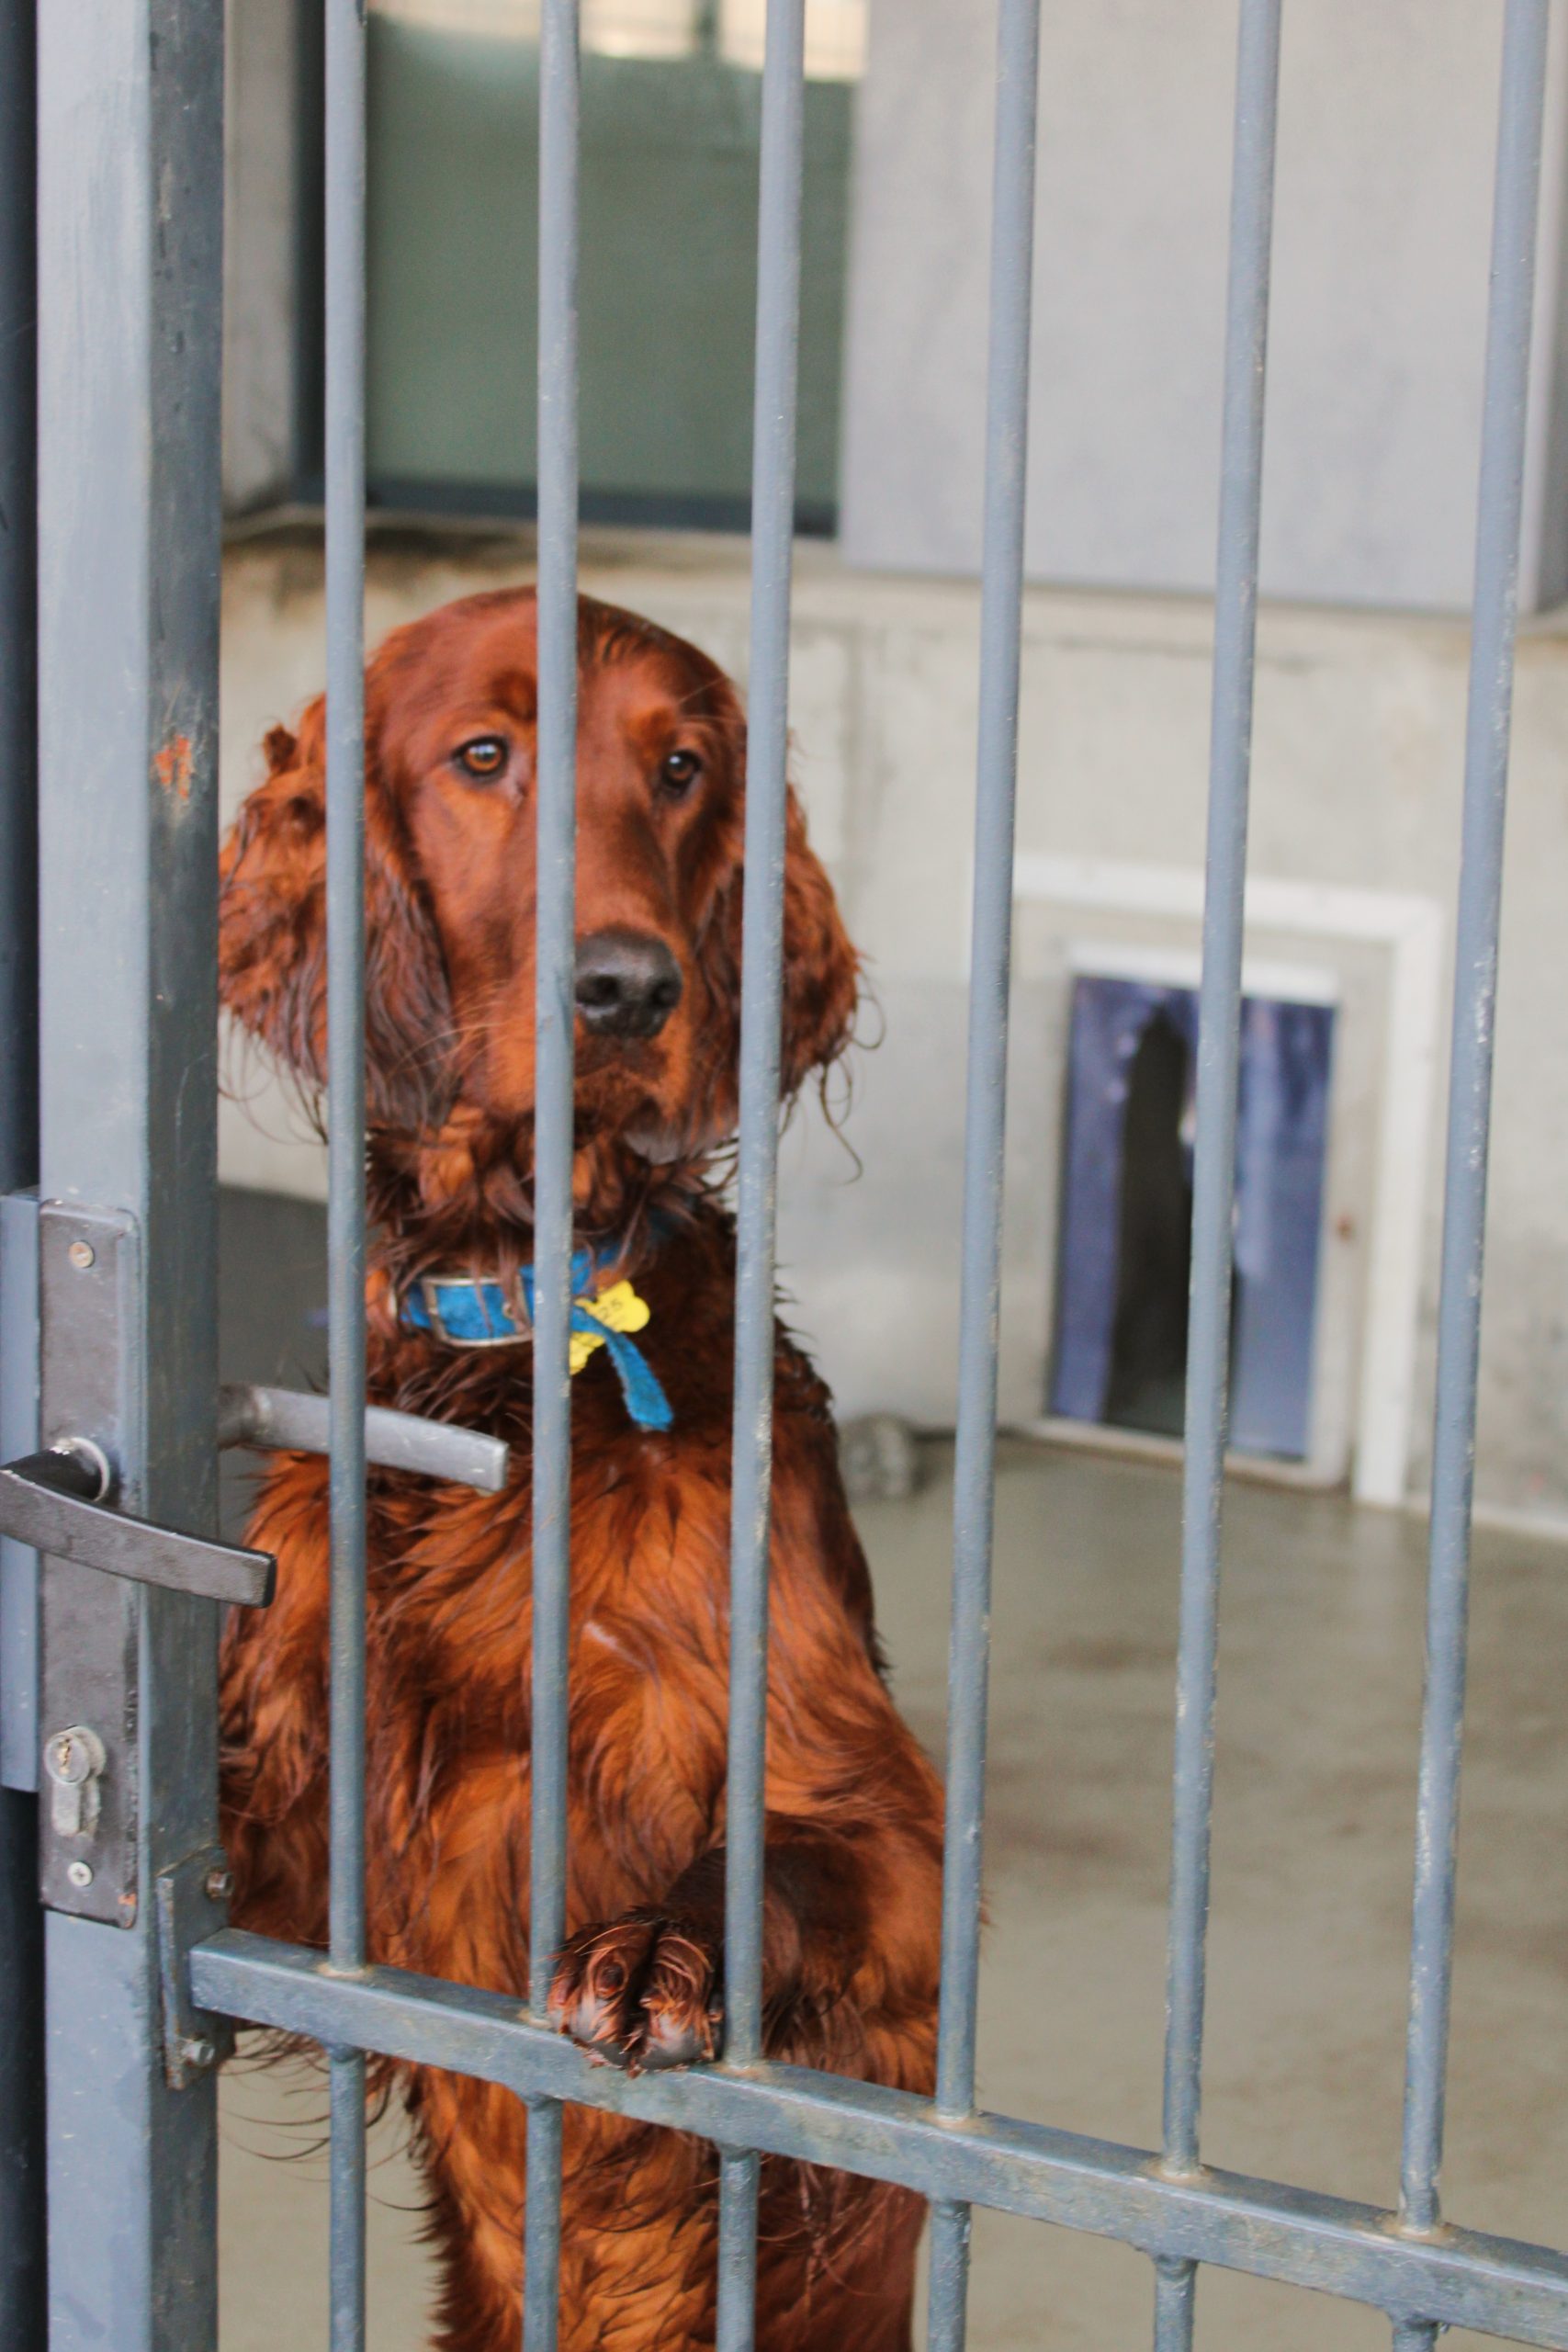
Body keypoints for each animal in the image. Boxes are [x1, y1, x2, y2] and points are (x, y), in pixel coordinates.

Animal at [217, 587, 944, 2351]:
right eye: (484, 756)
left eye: (681, 770)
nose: (624, 989)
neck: (524, 1348)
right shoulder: (295, 1856)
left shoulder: (877, 1826)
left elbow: (778, 1858)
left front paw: (650, 1952)